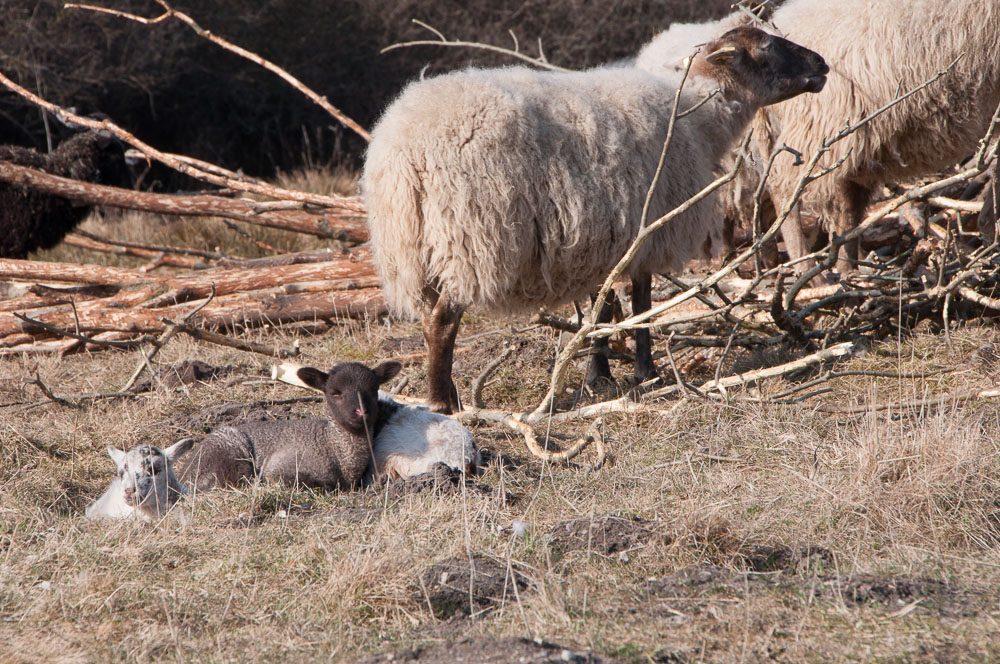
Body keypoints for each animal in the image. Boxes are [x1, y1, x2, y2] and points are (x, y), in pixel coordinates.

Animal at [362, 26, 829, 412]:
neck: (697, 115)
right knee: (443, 322)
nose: (822, 65)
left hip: (416, 247)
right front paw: (646, 372)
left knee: (428, 320)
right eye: (767, 47)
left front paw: (597, 376)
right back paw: (443, 403)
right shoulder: (645, 231)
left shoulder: (597, 238)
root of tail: (403, 150)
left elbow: (600, 309)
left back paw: (447, 392)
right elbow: (639, 303)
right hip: (466, 237)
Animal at [637, 0, 1000, 276]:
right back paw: (810, 272)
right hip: (822, 123)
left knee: (844, 204)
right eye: (766, 48)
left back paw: (845, 268)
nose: (819, 63)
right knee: (787, 192)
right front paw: (989, 230)